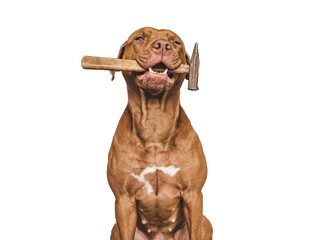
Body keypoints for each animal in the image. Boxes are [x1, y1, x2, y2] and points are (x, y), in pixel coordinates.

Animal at [107, 27, 212, 239]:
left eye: (177, 42)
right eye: (139, 37)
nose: (163, 45)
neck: (155, 124)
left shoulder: (194, 195)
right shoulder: (123, 200)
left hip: (207, 222)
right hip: (115, 228)